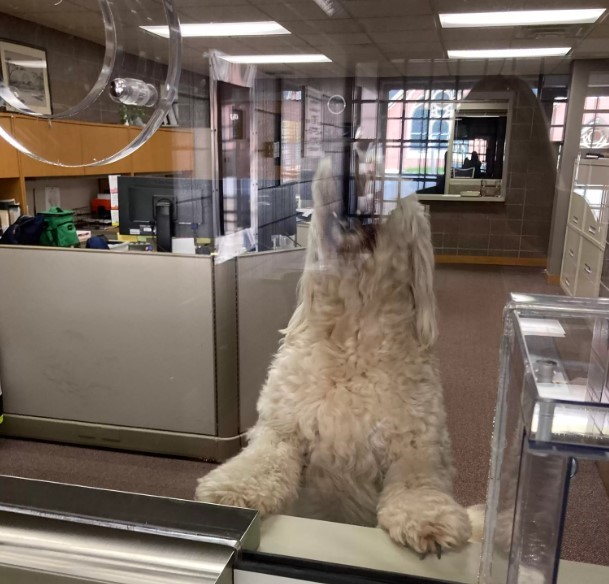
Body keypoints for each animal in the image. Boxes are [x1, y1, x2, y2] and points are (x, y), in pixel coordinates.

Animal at [195, 160, 470, 556]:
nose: (354, 157)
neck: (352, 338)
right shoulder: (282, 429)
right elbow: (261, 461)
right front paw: (232, 491)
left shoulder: (418, 445)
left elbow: (419, 481)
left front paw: (427, 517)